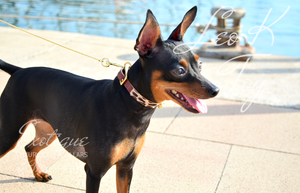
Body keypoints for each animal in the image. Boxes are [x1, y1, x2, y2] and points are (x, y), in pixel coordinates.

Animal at [1, 6, 219, 193]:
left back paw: (38, 174)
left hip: (48, 131)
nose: (215, 90)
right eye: (179, 70)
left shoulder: (125, 167)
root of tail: (18, 70)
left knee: (29, 147)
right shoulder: (94, 171)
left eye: (200, 65)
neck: (128, 104)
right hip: (10, 134)